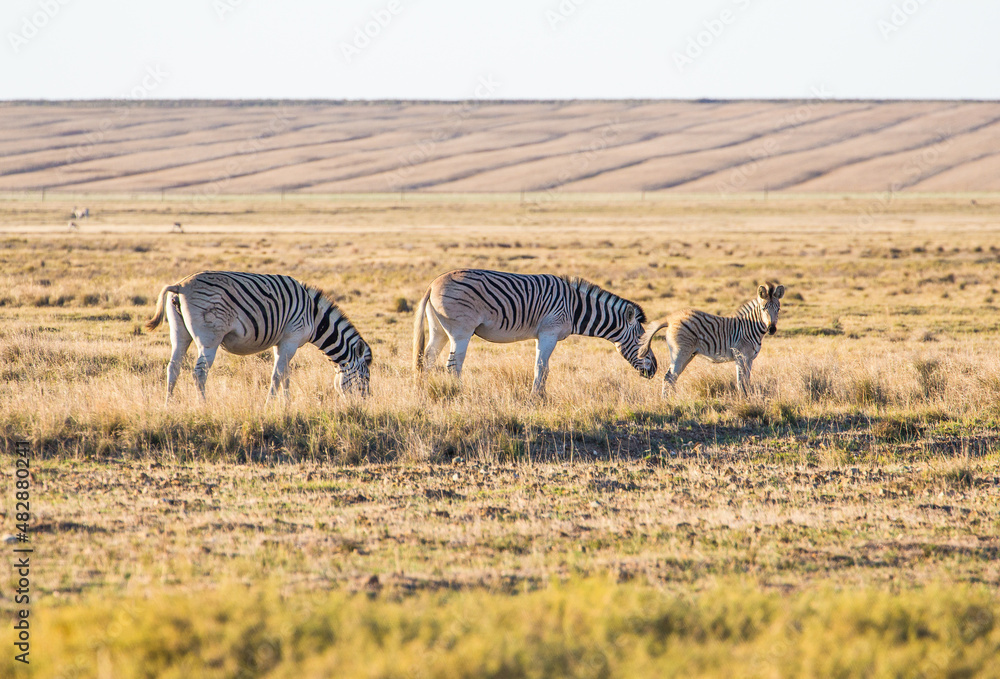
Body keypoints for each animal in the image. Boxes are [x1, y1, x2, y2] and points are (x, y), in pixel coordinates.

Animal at [144, 271, 372, 402]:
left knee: (173, 368)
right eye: (365, 378)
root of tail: (180, 285)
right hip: (209, 339)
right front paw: (269, 406)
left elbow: (286, 375)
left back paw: (168, 405)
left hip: (179, 332)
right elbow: (278, 375)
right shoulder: (291, 339)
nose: (364, 405)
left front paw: (287, 405)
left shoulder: (281, 343)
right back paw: (204, 407)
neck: (314, 317)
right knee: (199, 373)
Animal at [412, 269, 657, 395]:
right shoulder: (549, 332)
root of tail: (432, 284)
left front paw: (540, 395)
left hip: (439, 330)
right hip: (461, 332)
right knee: (453, 365)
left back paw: (423, 390)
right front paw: (537, 397)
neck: (574, 308)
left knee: (428, 359)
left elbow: (543, 368)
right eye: (642, 340)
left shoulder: (543, 334)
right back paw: (457, 393)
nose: (654, 370)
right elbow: (541, 367)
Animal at [639, 282, 784, 397]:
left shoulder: (749, 359)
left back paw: (673, 399)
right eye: (763, 308)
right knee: (669, 377)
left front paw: (748, 397)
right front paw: (744, 399)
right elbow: (741, 382)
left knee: (673, 377)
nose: (772, 329)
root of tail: (670, 318)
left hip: (688, 355)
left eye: (778, 309)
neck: (750, 327)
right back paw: (667, 401)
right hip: (679, 352)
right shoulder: (740, 356)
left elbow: (746, 381)